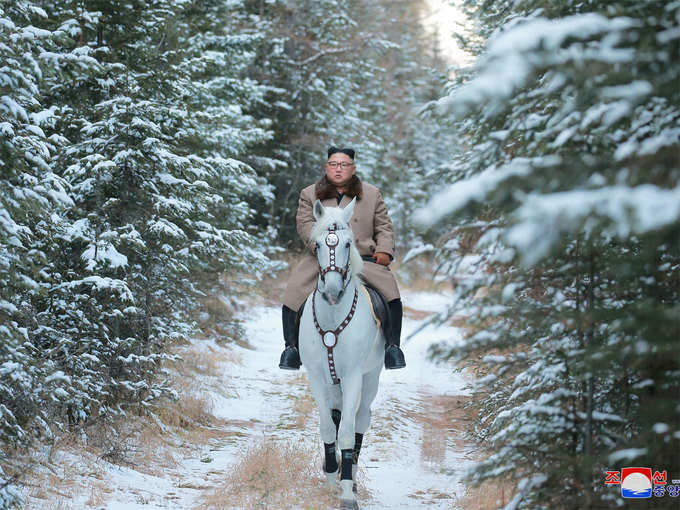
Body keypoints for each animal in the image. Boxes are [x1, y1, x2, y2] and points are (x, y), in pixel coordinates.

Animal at [298, 197, 382, 508]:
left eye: (348, 244)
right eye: (318, 245)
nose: (332, 291)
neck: (333, 317)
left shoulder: (353, 376)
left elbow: (346, 432)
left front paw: (346, 490)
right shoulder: (316, 377)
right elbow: (327, 427)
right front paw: (331, 476)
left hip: (370, 378)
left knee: (360, 420)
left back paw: (353, 475)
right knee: (335, 417)